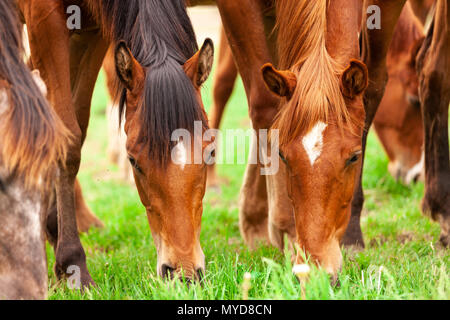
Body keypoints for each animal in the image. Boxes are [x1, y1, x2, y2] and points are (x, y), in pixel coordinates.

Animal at [18, 0, 214, 286]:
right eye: (133, 161)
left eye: (210, 153)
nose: (183, 274)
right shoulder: (45, 23)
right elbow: (66, 140)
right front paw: (73, 267)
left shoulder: (90, 34)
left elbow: (77, 127)